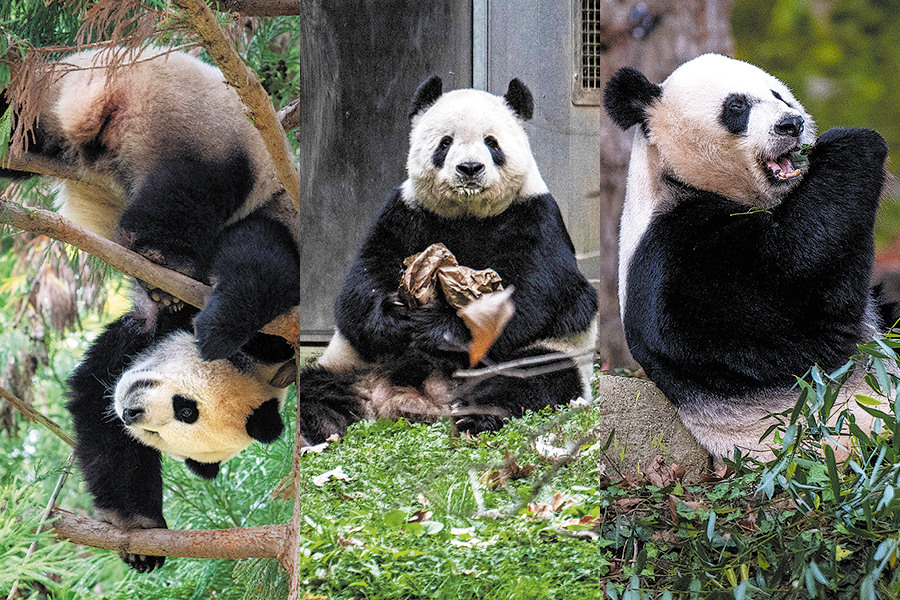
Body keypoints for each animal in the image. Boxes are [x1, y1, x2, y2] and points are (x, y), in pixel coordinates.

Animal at [0, 49, 306, 568]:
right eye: (187, 408)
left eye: (173, 428)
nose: (132, 412)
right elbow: (263, 263)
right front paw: (219, 328)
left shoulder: (139, 345)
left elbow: (94, 402)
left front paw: (138, 531)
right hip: (204, 127)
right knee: (194, 189)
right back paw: (162, 257)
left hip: (53, 111)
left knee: (19, 130)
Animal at [294, 75, 596, 442]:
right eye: (445, 143)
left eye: (492, 143)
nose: (470, 168)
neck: (467, 214)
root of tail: (418, 402)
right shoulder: (405, 211)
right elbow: (364, 279)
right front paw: (392, 318)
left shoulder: (535, 216)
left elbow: (528, 295)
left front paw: (440, 330)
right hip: (350, 363)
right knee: (314, 386)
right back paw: (323, 423)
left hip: (556, 351)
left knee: (530, 378)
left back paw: (475, 417)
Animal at [600, 55, 888, 460]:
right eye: (736, 107)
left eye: (779, 95)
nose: (791, 124)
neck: (679, 179)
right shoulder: (675, 262)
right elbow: (800, 281)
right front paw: (851, 143)